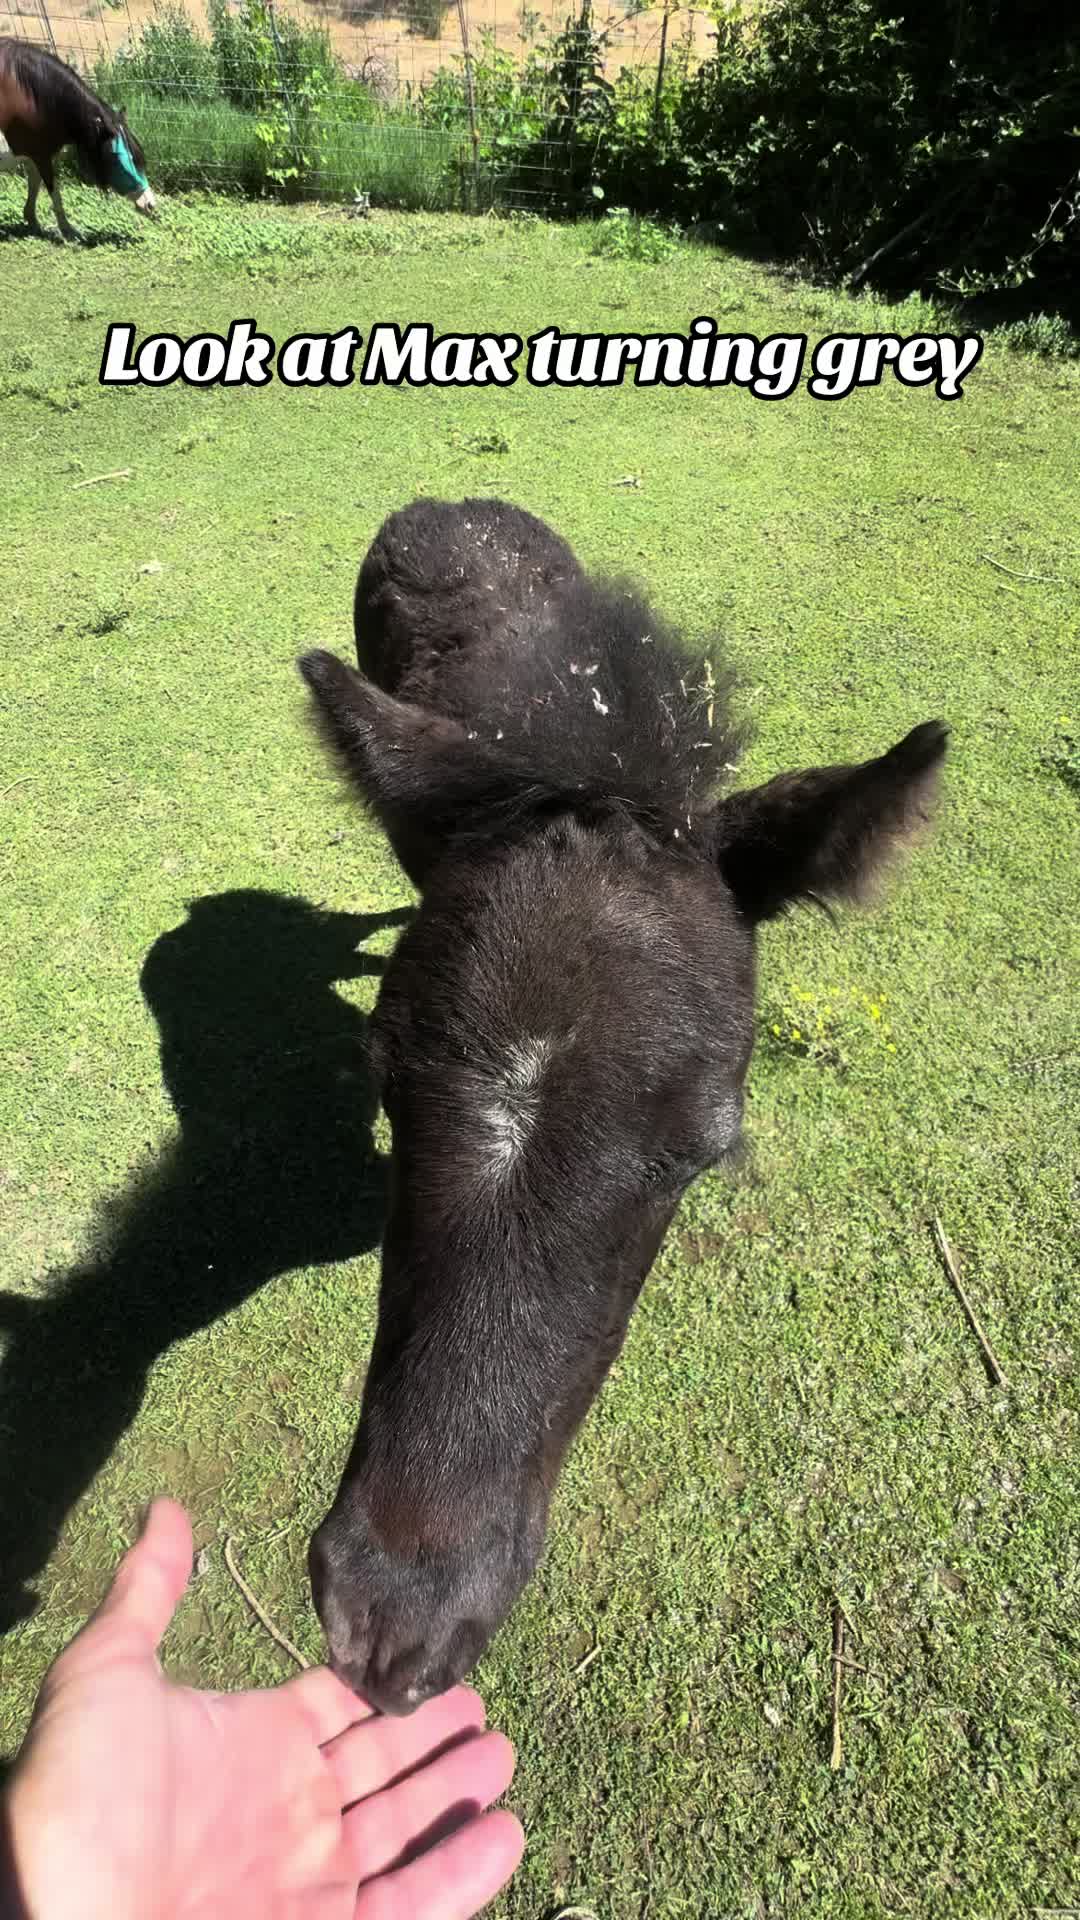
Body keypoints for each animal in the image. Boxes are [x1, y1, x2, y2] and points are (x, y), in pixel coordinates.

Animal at [0, 37, 155, 240]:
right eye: (120, 158)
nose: (150, 204)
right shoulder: (41, 156)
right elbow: (54, 192)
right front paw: (68, 230)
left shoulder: (35, 153)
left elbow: (34, 185)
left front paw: (32, 221)